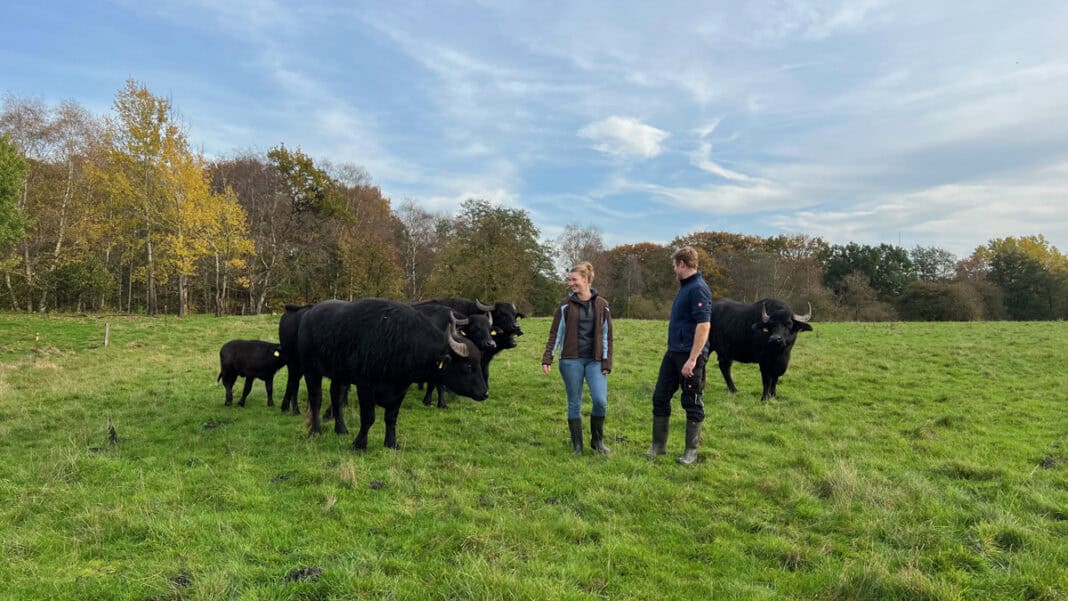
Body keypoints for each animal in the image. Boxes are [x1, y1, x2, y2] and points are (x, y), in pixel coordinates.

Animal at [296, 298, 489, 448]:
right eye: (468, 365)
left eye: (478, 363)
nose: (484, 393)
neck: (398, 342)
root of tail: (307, 315)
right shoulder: (365, 386)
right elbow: (368, 417)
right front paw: (359, 444)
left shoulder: (400, 388)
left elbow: (391, 417)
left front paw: (391, 443)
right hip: (311, 370)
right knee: (316, 399)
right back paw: (315, 430)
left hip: (340, 375)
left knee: (336, 397)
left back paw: (341, 429)